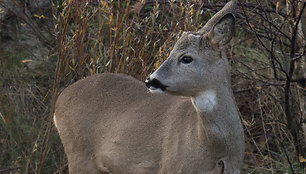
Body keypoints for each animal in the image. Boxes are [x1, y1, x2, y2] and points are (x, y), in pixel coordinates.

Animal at [53, 0, 244, 173]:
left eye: (186, 58)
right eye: (170, 52)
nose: (151, 80)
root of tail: (59, 100)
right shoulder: (171, 168)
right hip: (79, 155)